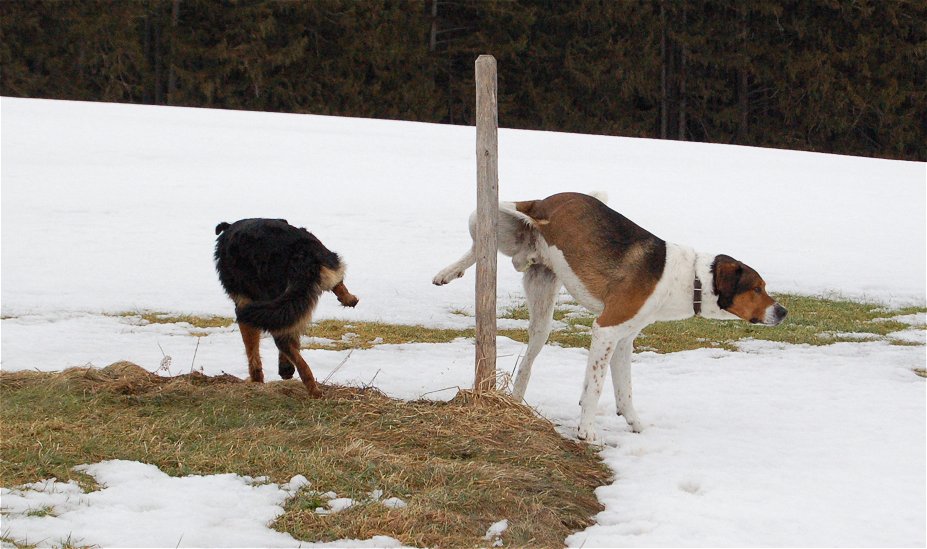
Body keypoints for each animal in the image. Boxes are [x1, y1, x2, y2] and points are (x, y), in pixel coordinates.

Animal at [215, 217, 358, 394]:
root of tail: (301, 254)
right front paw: (285, 368)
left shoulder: (245, 305)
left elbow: (252, 352)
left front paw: (256, 382)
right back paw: (349, 298)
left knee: (288, 347)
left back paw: (313, 390)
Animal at [432, 191, 788, 444]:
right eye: (757, 288)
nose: (783, 312)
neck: (691, 280)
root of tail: (545, 202)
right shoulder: (605, 329)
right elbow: (596, 386)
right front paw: (586, 431)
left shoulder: (624, 338)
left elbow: (623, 390)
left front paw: (635, 424)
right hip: (490, 213)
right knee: (480, 245)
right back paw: (448, 271)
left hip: (542, 314)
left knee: (528, 361)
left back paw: (517, 399)